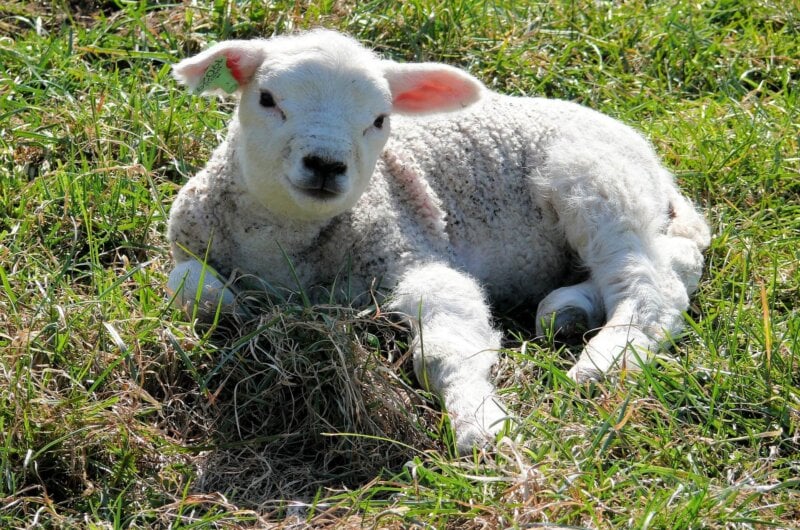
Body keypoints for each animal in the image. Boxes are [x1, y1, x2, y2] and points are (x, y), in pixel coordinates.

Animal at [166, 29, 710, 454]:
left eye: (380, 119)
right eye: (267, 99)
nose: (326, 164)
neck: (283, 244)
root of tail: (654, 163)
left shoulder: (411, 250)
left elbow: (446, 346)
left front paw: (481, 425)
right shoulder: (188, 245)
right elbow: (191, 291)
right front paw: (234, 311)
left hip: (597, 183)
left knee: (653, 283)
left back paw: (603, 361)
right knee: (674, 260)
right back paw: (569, 309)